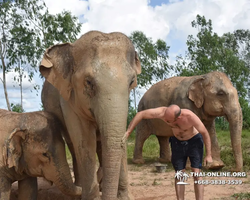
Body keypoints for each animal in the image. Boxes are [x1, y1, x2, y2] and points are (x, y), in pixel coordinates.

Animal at [39, 30, 141, 200]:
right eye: (88, 82)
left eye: (132, 81)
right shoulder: (69, 100)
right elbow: (85, 141)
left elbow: (118, 141)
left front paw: (124, 197)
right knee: (74, 146)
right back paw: (80, 188)